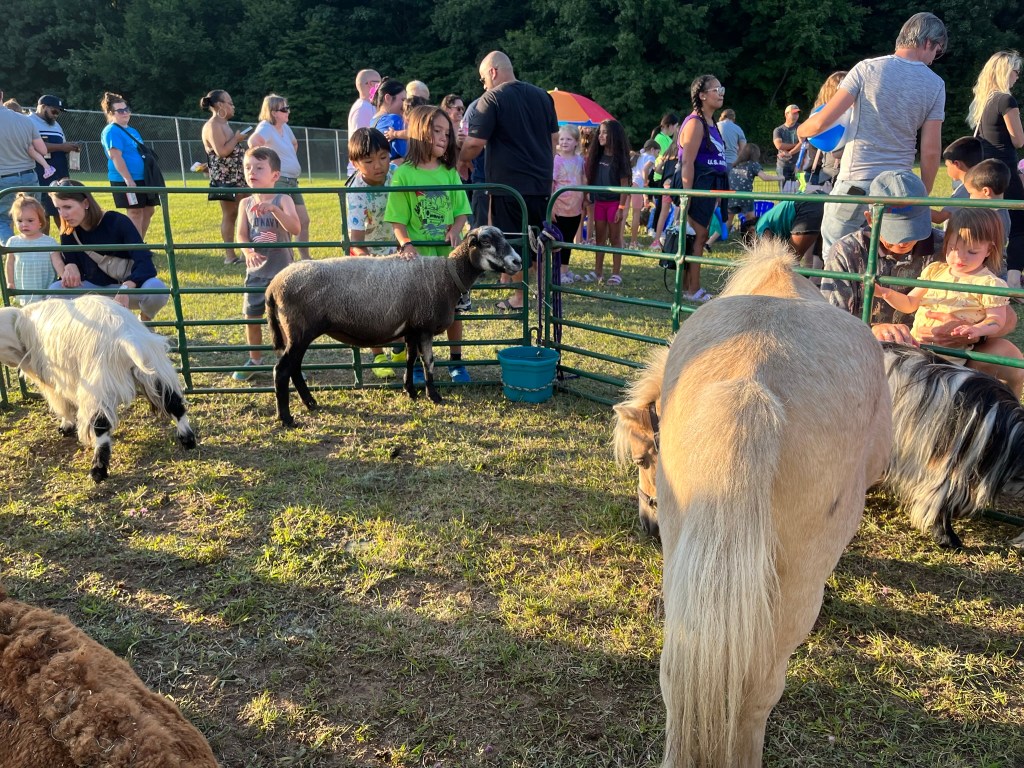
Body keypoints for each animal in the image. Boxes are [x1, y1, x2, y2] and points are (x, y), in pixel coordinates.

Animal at [0, 295, 197, 482]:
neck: (21, 324)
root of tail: (127, 336)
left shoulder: (57, 380)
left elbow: (63, 405)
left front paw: (66, 426)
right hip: (156, 372)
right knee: (174, 404)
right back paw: (187, 439)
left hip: (98, 386)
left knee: (100, 427)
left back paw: (98, 470)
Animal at [265, 225, 523, 427]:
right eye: (486, 241)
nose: (518, 261)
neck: (447, 276)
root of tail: (274, 286)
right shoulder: (425, 327)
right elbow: (428, 361)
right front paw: (434, 395)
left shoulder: (412, 328)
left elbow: (410, 359)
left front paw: (410, 391)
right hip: (300, 330)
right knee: (282, 370)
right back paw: (286, 418)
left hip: (295, 333)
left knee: (294, 368)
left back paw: (310, 403)